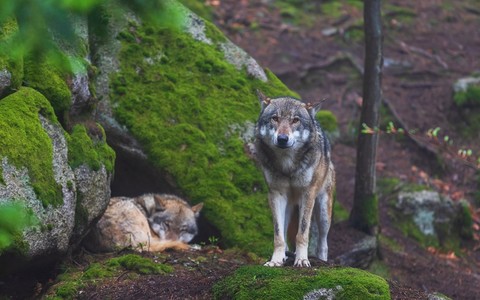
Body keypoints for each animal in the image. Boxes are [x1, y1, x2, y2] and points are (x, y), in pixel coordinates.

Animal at [255, 89, 334, 268]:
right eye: (275, 118)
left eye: (295, 120)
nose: (282, 139)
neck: (288, 166)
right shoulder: (276, 194)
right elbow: (278, 235)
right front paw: (275, 260)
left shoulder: (308, 194)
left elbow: (302, 233)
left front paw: (302, 260)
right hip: (288, 206)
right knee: (284, 233)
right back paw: (284, 256)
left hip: (323, 213)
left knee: (323, 243)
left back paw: (322, 260)